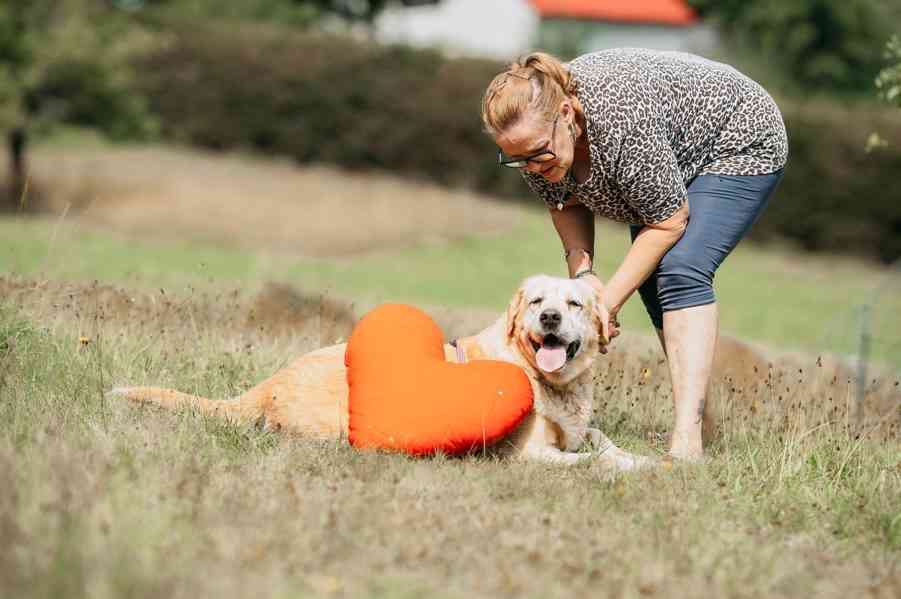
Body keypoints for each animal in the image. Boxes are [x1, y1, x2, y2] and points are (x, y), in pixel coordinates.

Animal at [112, 274, 652, 472]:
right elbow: (588, 460)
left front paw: (646, 463)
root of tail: (267, 384)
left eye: (574, 304)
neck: (550, 383)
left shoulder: (582, 428)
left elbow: (603, 443)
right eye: (538, 302)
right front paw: (623, 468)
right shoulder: (527, 454)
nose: (551, 319)